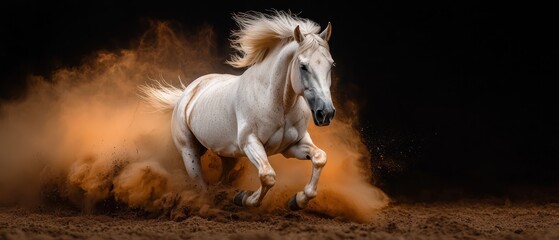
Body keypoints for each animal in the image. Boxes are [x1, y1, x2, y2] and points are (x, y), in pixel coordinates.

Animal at [141, 11, 336, 210]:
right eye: (303, 66)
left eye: (331, 65)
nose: (325, 113)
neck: (279, 104)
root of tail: (187, 93)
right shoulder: (250, 143)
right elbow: (268, 176)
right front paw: (243, 198)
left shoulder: (293, 145)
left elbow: (320, 157)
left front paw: (297, 200)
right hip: (189, 151)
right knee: (199, 184)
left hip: (229, 155)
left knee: (223, 177)